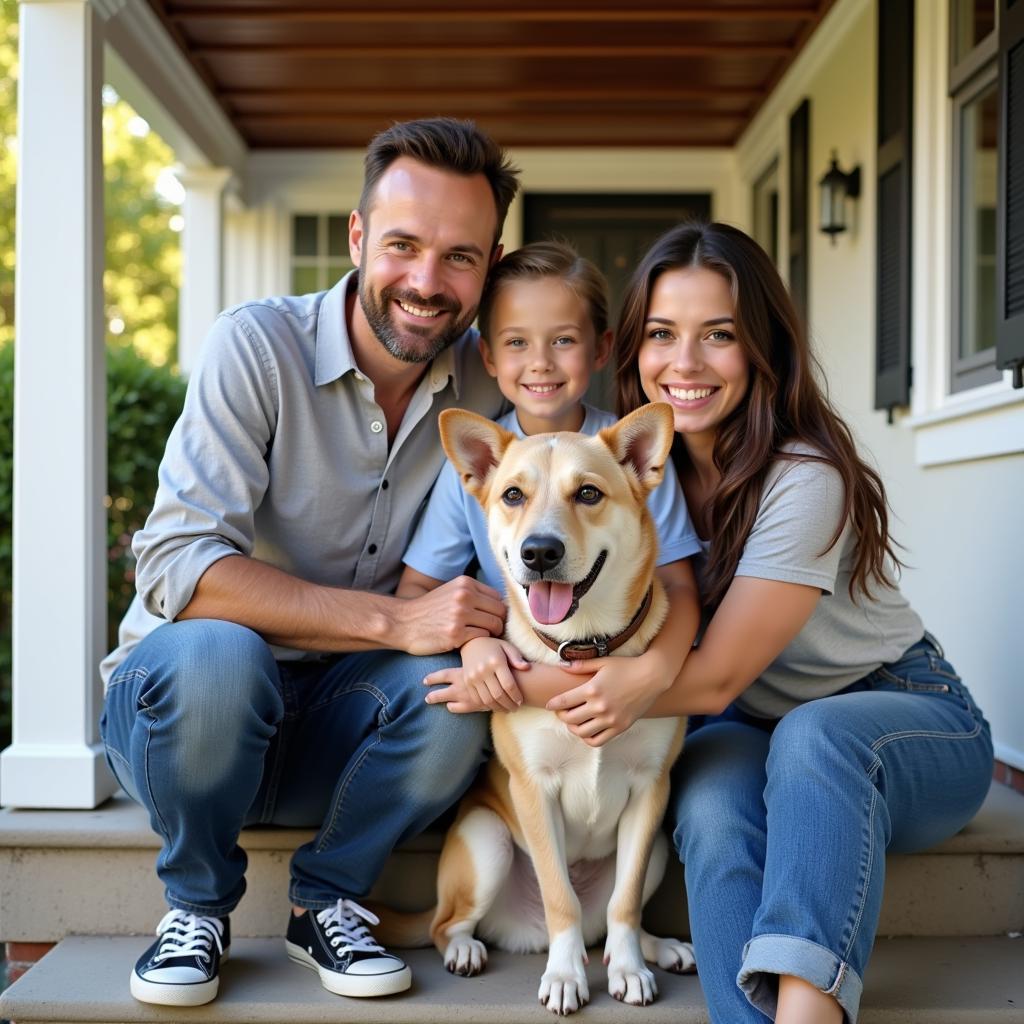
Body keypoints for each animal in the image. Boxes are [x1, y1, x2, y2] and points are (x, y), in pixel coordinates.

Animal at [417, 403, 696, 1011]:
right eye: (512, 495)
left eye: (588, 493)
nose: (539, 552)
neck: (584, 646)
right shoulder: (533, 790)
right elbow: (558, 895)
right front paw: (566, 975)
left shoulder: (651, 789)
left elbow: (624, 902)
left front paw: (630, 969)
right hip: (487, 839)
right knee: (445, 924)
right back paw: (467, 949)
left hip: (659, 847)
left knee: (613, 917)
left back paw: (653, 948)